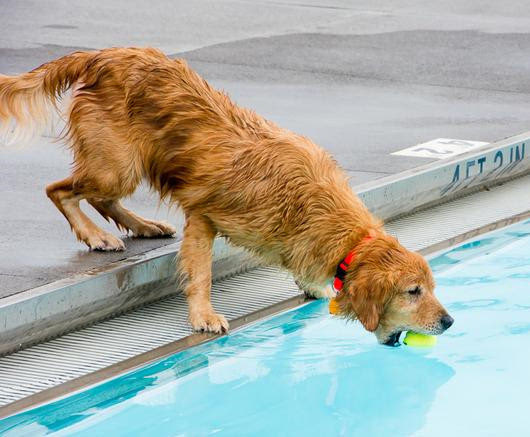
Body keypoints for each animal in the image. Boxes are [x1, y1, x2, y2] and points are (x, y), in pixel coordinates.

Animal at [1, 46, 454, 342]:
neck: (313, 205)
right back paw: (97, 235)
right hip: (117, 166)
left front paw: (313, 286)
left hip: (122, 167)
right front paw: (203, 315)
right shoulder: (205, 214)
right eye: (413, 292)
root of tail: (105, 54)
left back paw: (144, 226)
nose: (449, 321)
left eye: (431, 287)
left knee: (97, 197)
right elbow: (201, 273)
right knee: (61, 190)